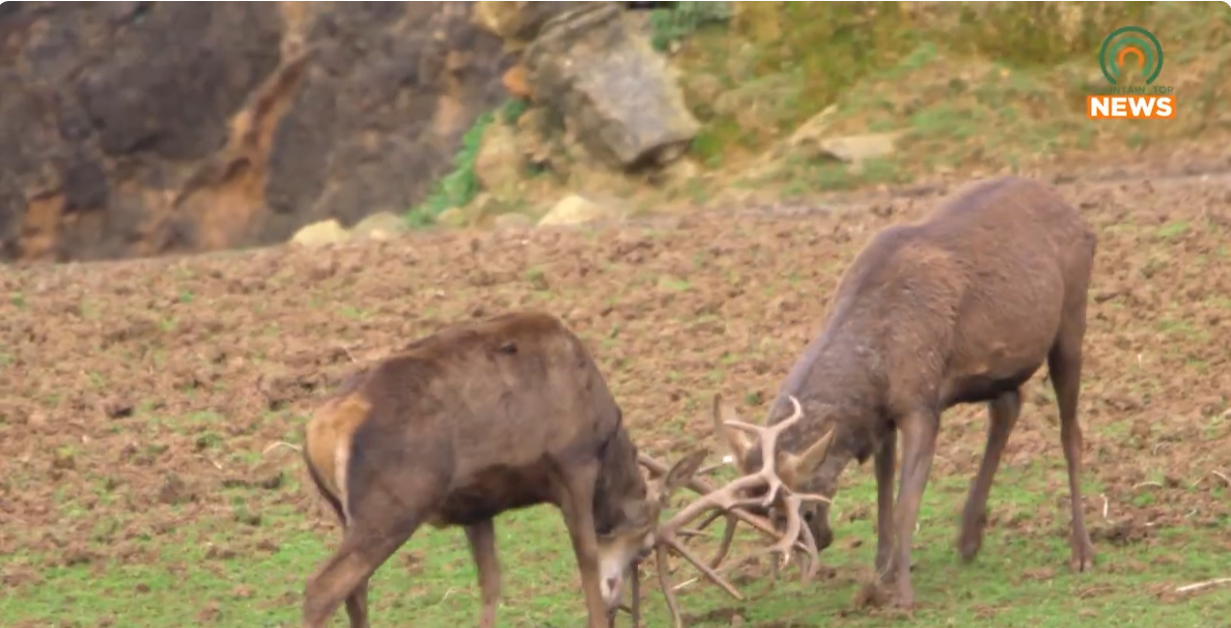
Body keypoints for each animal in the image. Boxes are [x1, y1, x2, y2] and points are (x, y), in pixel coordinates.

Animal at [298, 310, 823, 628]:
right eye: (645, 546)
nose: (617, 598)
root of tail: (320, 429)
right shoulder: (572, 464)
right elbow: (585, 556)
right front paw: (596, 613)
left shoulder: (477, 506)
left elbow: (491, 584)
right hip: (394, 502)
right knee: (322, 587)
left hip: (349, 512)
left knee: (354, 589)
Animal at [708, 176, 1099, 610]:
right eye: (762, 516)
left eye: (803, 512)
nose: (821, 541)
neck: (875, 363)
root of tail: (1081, 219)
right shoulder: (882, 418)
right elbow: (883, 494)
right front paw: (883, 573)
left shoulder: (921, 405)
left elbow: (905, 504)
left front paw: (903, 594)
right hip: (998, 365)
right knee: (1009, 404)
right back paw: (969, 537)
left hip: (1071, 320)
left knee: (1071, 432)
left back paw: (1082, 551)